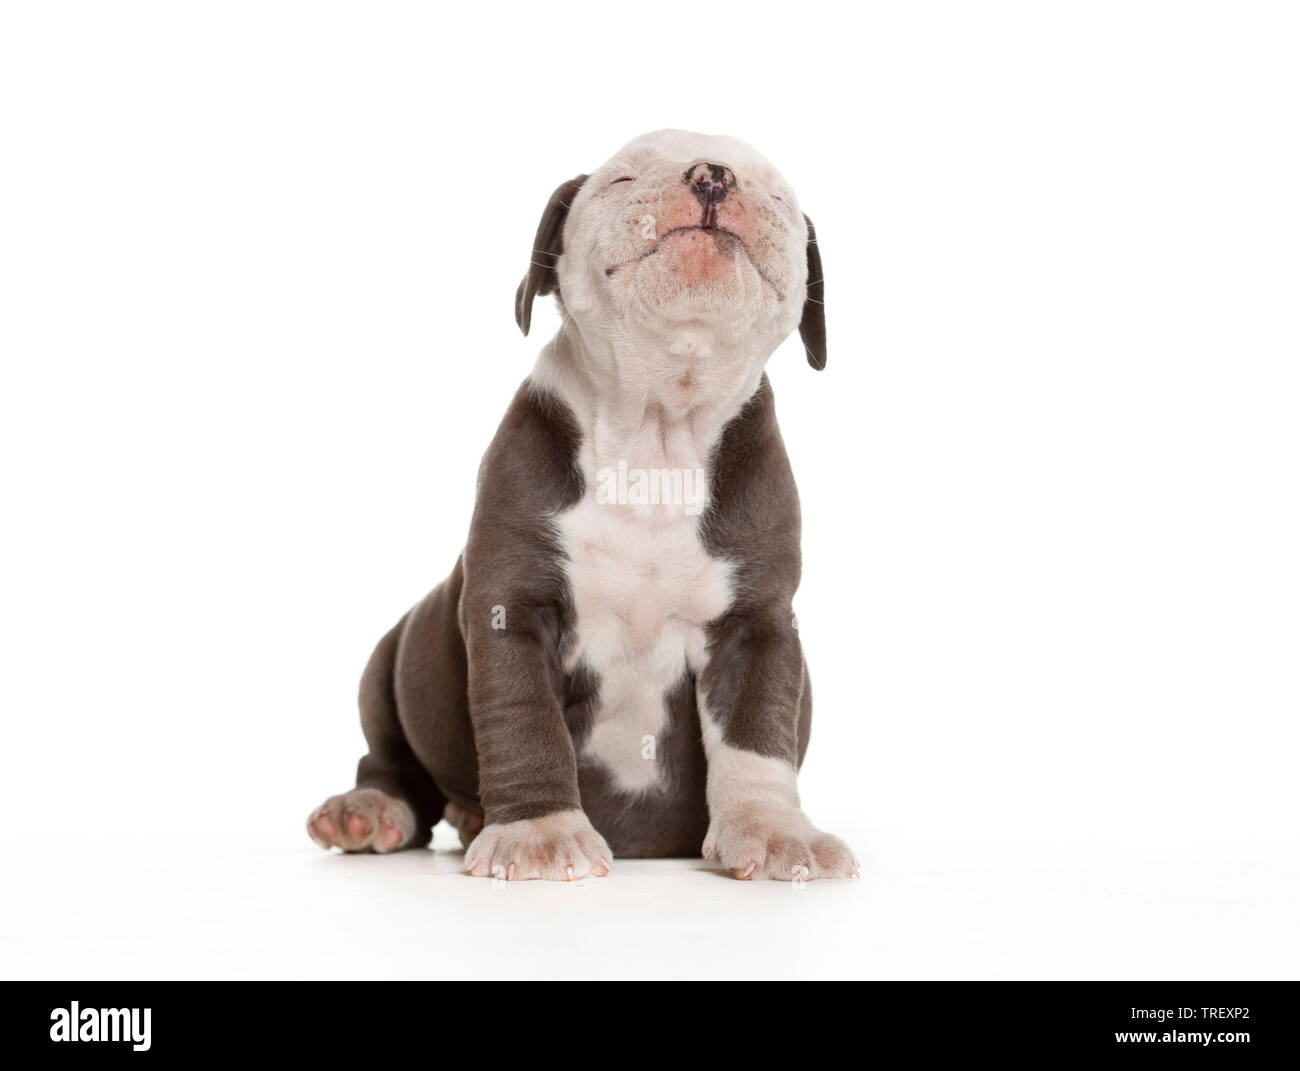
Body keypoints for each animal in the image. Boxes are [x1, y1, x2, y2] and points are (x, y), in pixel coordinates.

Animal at [309, 127, 857, 878]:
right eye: (623, 179)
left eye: (775, 196)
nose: (714, 176)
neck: (657, 436)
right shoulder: (513, 604)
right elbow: (524, 719)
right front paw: (538, 834)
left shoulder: (757, 621)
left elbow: (757, 736)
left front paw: (777, 833)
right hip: (391, 663)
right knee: (388, 758)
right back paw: (369, 809)